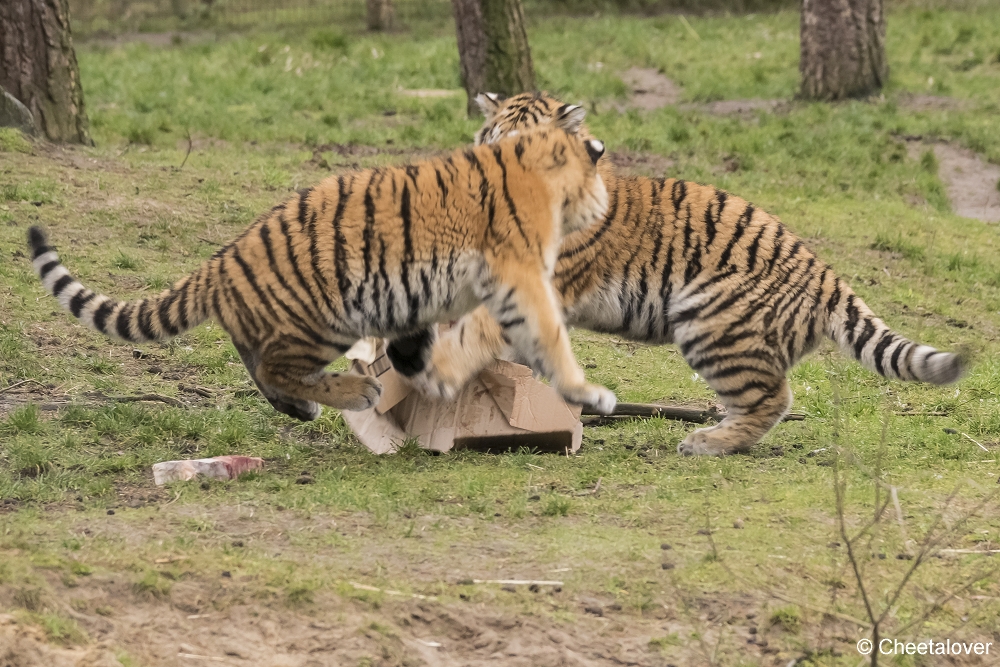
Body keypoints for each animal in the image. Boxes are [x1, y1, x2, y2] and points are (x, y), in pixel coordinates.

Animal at [27, 122, 616, 420]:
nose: (605, 205)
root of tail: (221, 260)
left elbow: (428, 348)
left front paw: (434, 379)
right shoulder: (522, 278)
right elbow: (549, 338)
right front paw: (589, 395)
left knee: (258, 362)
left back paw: (305, 408)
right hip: (325, 318)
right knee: (274, 367)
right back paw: (352, 394)